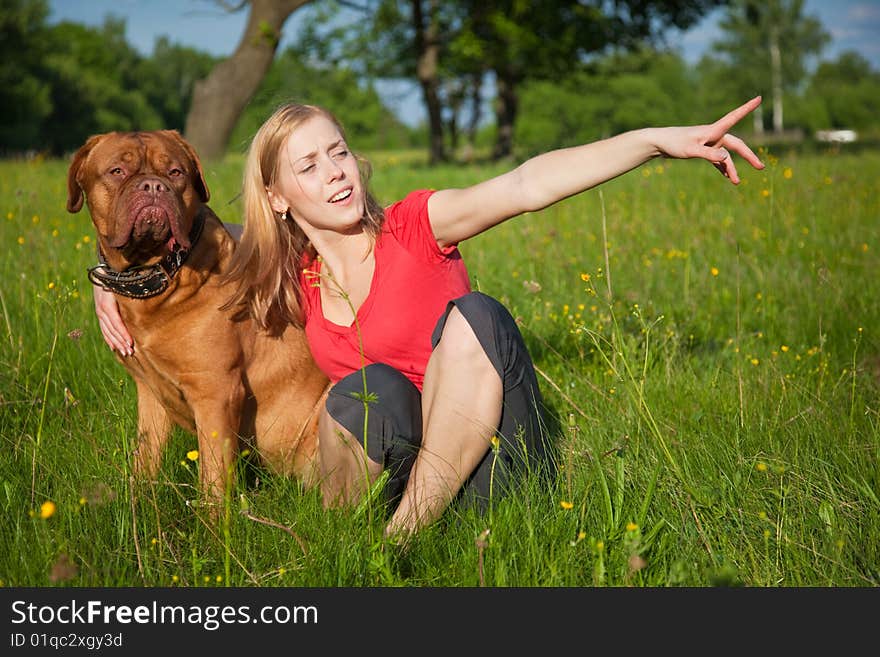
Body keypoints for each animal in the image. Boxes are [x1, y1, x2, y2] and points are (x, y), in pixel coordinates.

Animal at [67, 131, 330, 510]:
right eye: (117, 170)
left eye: (176, 172)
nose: (153, 186)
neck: (160, 277)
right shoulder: (150, 393)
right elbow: (145, 458)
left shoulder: (215, 394)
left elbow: (213, 480)